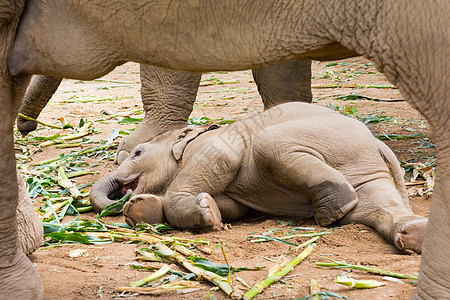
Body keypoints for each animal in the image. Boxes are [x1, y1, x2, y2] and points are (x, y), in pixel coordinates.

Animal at [90, 102, 426, 253]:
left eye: (137, 153)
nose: (121, 194)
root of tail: (379, 143)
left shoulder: (214, 145)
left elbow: (221, 163)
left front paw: (206, 214)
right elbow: (235, 207)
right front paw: (143, 209)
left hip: (330, 140)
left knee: (269, 143)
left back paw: (331, 212)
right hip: (365, 167)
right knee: (373, 205)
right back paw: (411, 234)